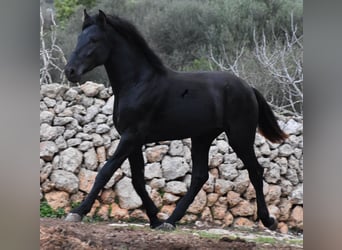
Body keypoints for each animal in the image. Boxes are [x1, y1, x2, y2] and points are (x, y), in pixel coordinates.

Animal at [65, 9, 288, 229]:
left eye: (94, 40)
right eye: (79, 38)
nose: (70, 71)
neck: (138, 83)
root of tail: (249, 88)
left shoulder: (131, 137)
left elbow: (106, 171)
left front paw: (77, 212)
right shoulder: (132, 140)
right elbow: (137, 180)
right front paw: (155, 219)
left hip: (240, 136)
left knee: (255, 171)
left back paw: (268, 220)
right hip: (202, 138)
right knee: (200, 176)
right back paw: (170, 221)